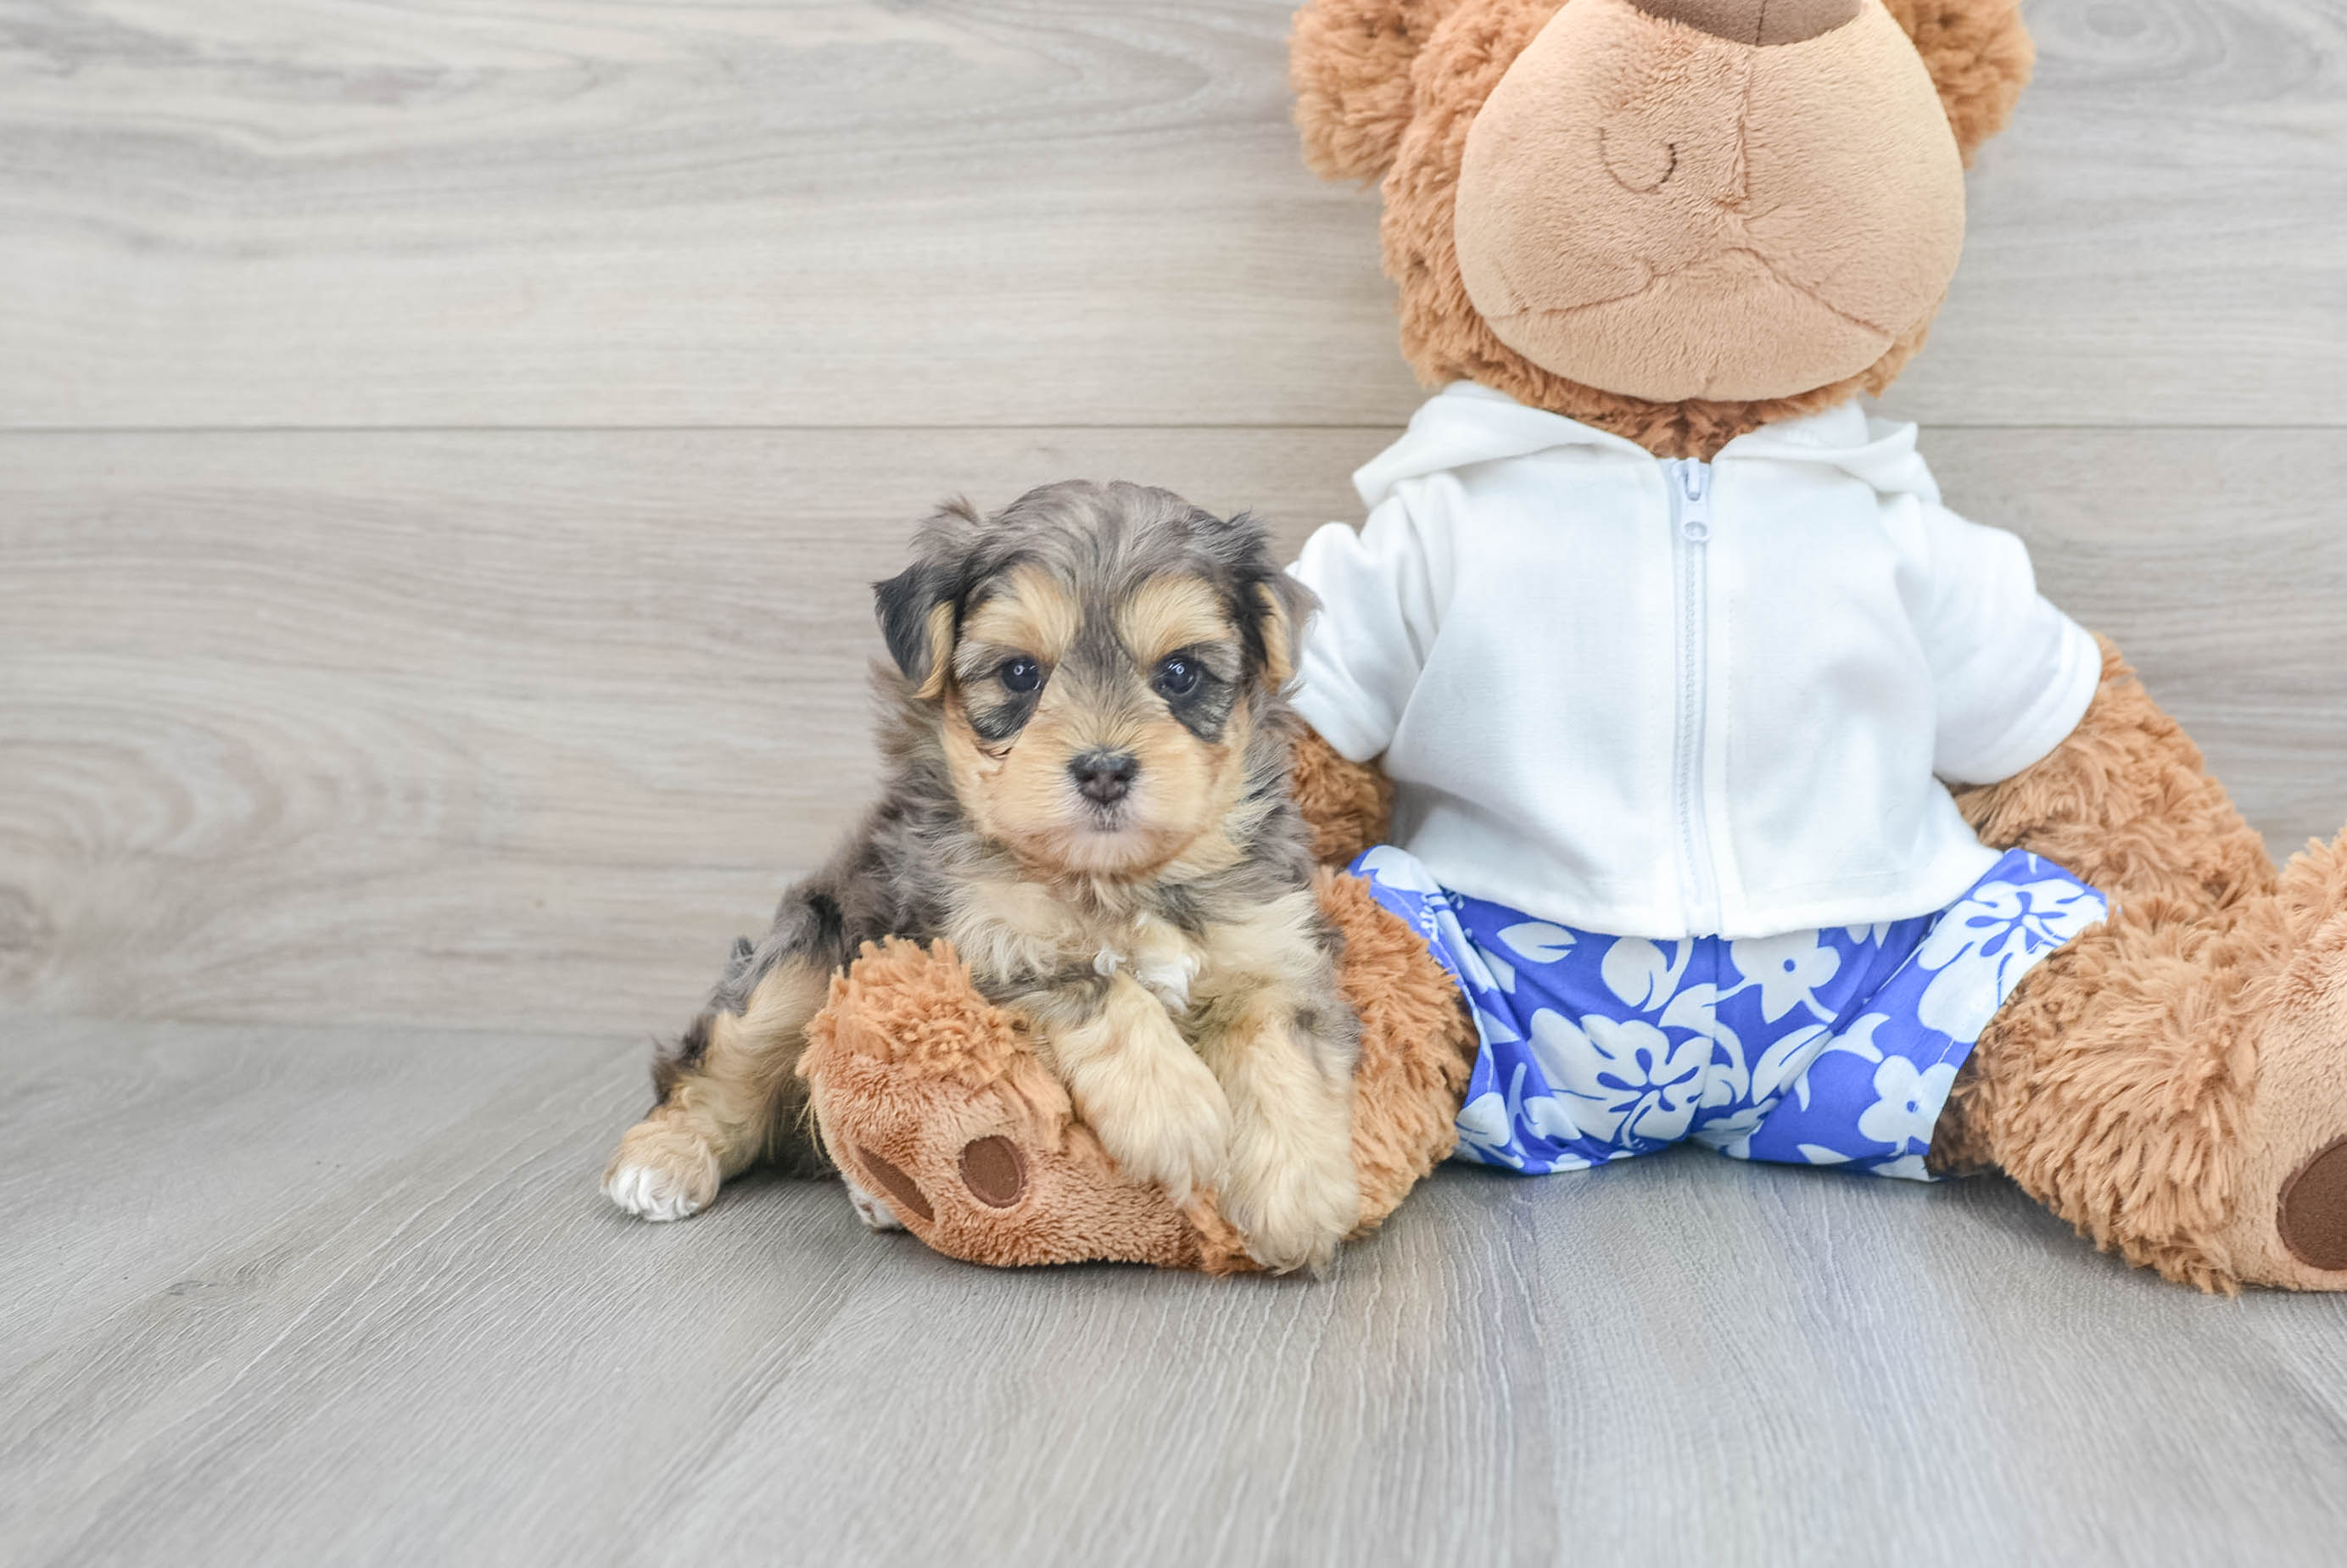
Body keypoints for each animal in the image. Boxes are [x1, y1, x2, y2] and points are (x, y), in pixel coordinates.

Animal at [605, 478, 1370, 1276]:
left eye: (1180, 673)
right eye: (1020, 674)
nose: (1104, 768)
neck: (1112, 878)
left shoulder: (1273, 943)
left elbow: (1279, 1042)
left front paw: (1296, 1198)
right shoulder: (971, 935)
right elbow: (1093, 981)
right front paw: (1174, 1110)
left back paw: (875, 1195)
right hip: (807, 952)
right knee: (719, 1065)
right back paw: (663, 1160)